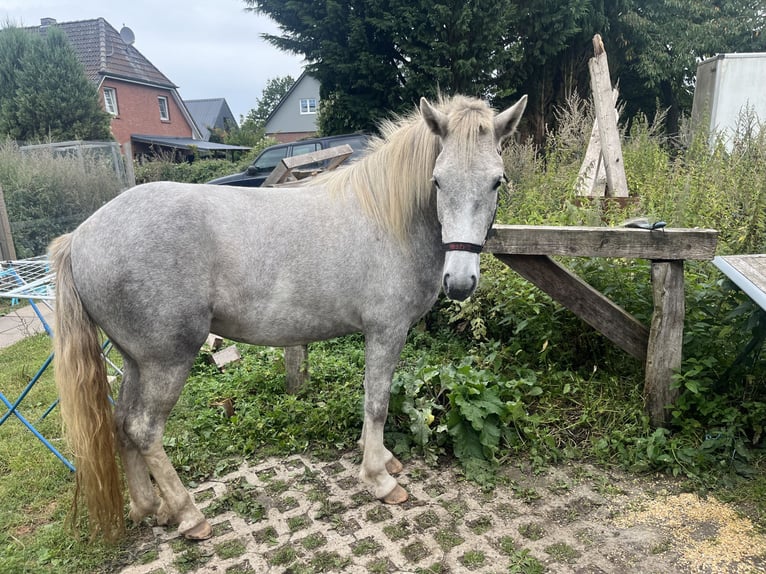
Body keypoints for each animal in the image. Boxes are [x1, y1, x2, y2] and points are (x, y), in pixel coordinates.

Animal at [50, 93, 527, 541]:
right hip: (166, 361)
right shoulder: (385, 330)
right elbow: (376, 402)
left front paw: (382, 459)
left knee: (122, 424)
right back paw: (189, 515)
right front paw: (378, 477)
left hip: (136, 361)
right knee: (145, 429)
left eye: (496, 181)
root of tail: (81, 236)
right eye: (438, 180)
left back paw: (151, 507)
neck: (389, 218)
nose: (460, 282)